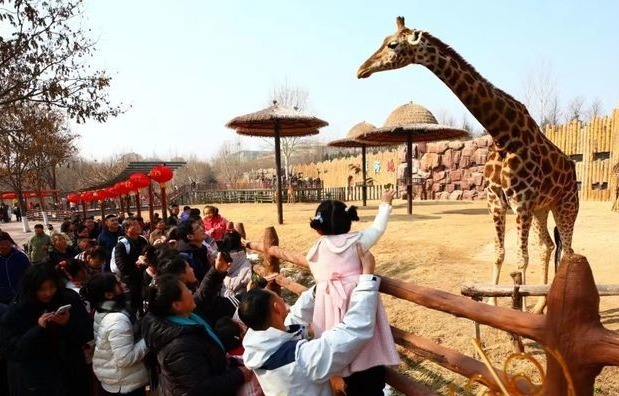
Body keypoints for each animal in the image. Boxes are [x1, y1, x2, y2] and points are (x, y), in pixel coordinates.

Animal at [358, 16, 580, 312]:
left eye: (392, 44)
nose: (361, 69)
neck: (503, 134)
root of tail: (571, 168)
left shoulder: (521, 203)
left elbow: (521, 259)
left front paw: (515, 311)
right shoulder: (496, 202)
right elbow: (499, 254)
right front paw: (493, 306)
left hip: (566, 205)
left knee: (568, 251)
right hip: (543, 208)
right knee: (547, 246)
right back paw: (539, 307)